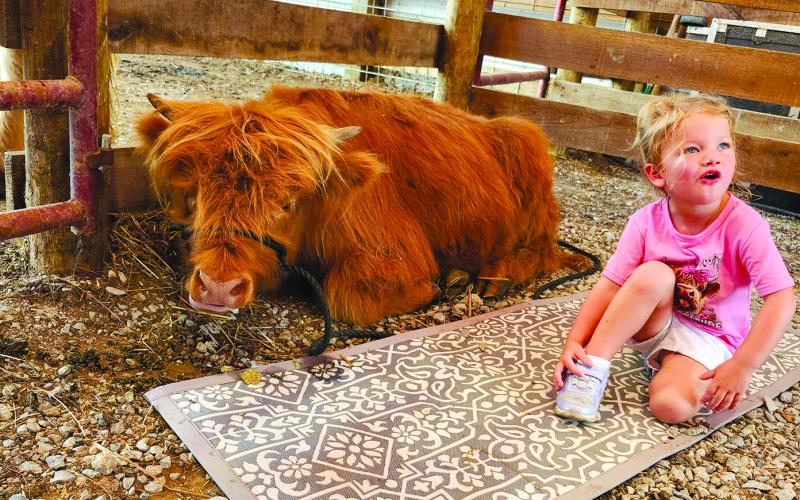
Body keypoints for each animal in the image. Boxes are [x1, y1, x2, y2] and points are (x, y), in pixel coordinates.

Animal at [137, 85, 566, 326]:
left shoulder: (395, 256)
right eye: (197, 193)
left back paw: (494, 277)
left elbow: (345, 297)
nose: (219, 288)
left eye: (287, 203)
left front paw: (435, 290)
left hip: (534, 196)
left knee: (544, 252)